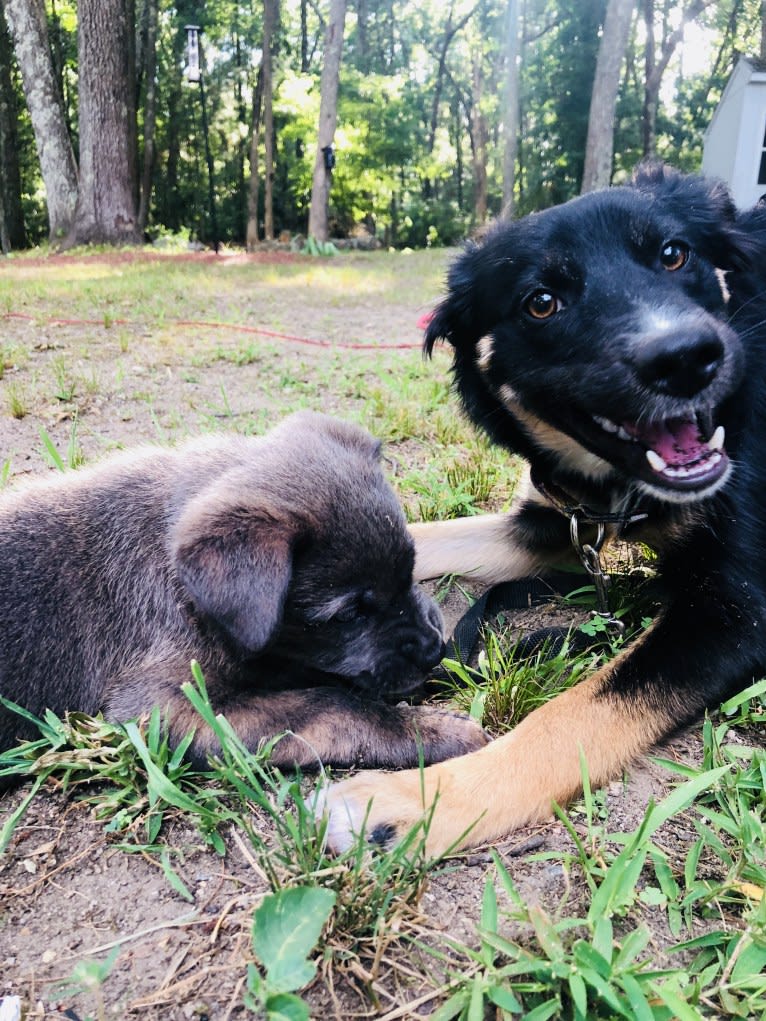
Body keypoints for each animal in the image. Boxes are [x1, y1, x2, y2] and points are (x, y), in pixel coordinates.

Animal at [0, 410, 486, 775]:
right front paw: (430, 730)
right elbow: (331, 705)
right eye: (348, 616)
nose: (432, 649)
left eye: (412, 570)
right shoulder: (166, 708)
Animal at [324, 165, 766, 853]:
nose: (686, 358)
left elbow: (574, 714)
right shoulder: (558, 522)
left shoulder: (736, 611)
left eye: (674, 254)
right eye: (541, 302)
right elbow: (425, 537)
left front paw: (409, 804)